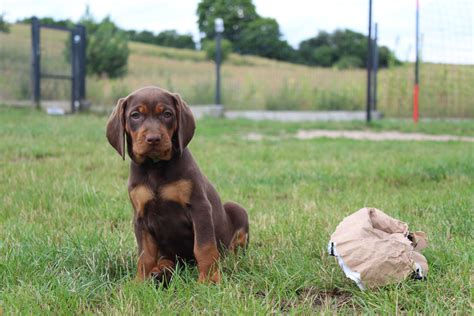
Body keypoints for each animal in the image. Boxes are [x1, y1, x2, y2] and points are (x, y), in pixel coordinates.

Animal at [106, 86, 248, 284]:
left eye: (167, 114)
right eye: (135, 115)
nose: (153, 139)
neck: (155, 166)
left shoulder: (200, 208)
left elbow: (204, 247)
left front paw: (209, 279)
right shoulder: (140, 217)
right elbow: (145, 254)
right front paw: (139, 282)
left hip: (236, 209)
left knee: (233, 249)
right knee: (166, 259)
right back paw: (160, 271)